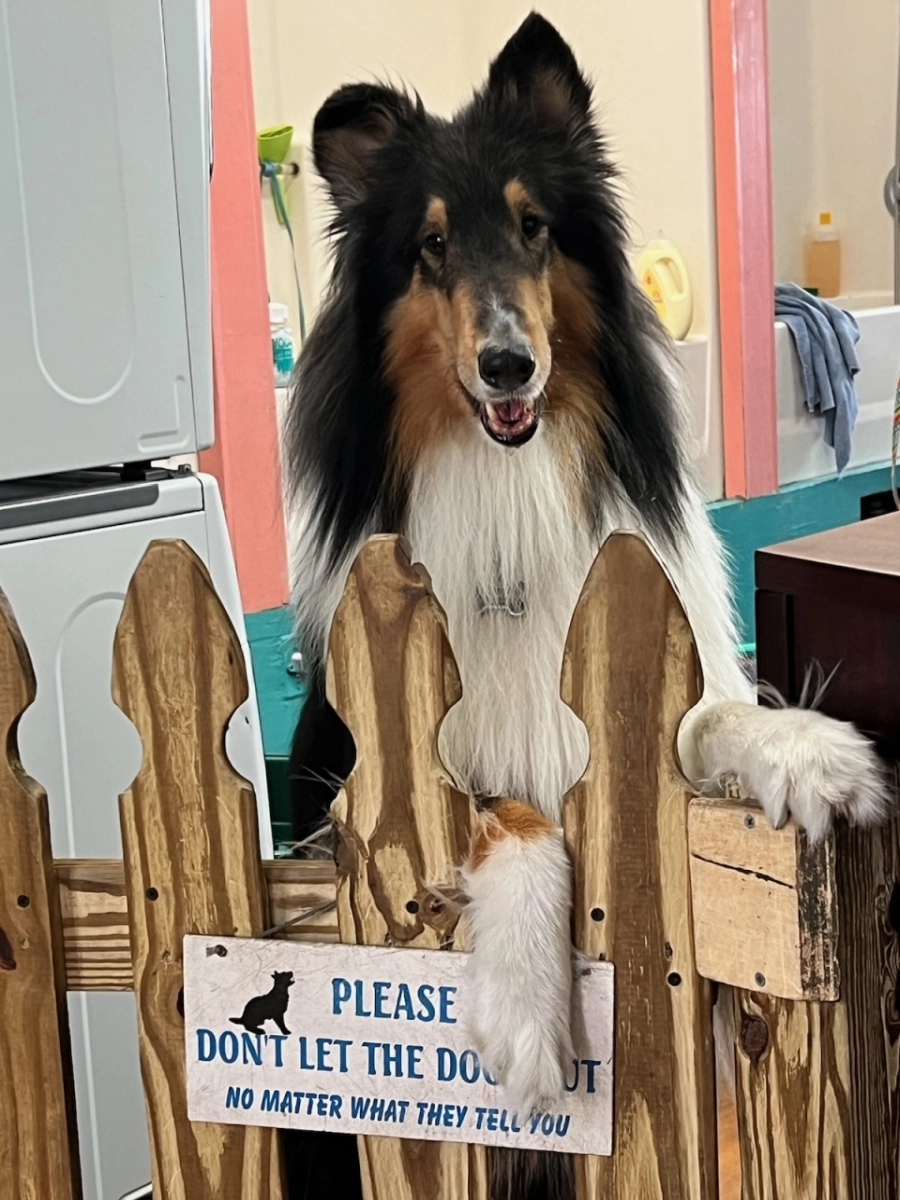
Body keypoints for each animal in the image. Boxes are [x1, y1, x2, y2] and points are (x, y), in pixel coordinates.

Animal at [284, 14, 889, 1198]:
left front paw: (809, 751)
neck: (507, 485)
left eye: (533, 227)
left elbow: (709, 716)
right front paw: (525, 1007)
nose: (507, 365)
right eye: (430, 247)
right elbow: (506, 809)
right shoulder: (361, 792)